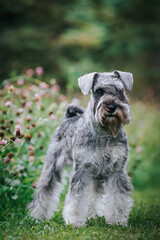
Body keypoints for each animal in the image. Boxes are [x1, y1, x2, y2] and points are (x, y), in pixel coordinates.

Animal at [28, 70, 134, 227]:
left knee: (94, 195)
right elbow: (76, 199)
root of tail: (69, 117)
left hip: (96, 177)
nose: (111, 107)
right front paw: (75, 221)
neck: (104, 133)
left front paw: (117, 220)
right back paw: (38, 217)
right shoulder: (81, 170)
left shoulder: (117, 170)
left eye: (120, 90)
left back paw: (93, 215)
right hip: (52, 166)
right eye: (99, 91)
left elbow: (118, 198)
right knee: (44, 190)